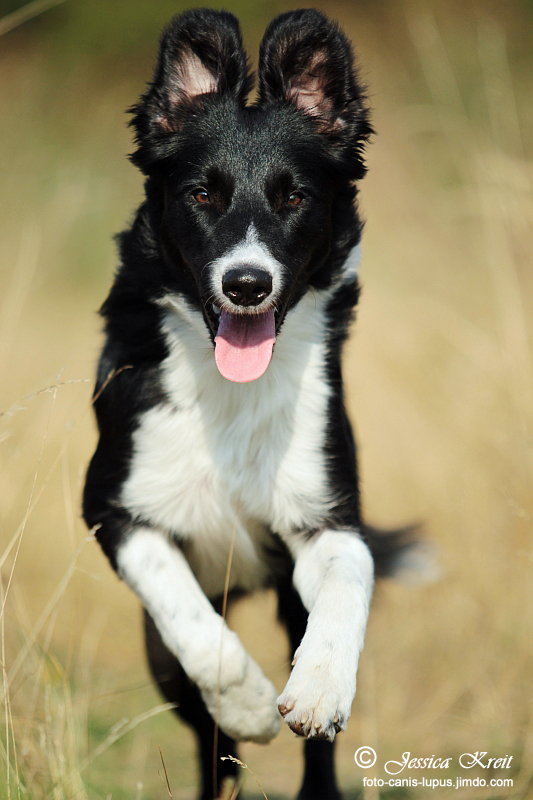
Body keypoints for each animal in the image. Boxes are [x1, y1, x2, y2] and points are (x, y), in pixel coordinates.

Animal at [83, 7, 416, 800]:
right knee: (209, 737)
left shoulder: (326, 514)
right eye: (202, 195)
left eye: (293, 196)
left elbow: (348, 585)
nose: (245, 284)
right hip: (160, 660)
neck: (228, 393)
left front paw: (317, 689)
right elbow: (190, 618)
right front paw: (250, 704)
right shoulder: (112, 508)